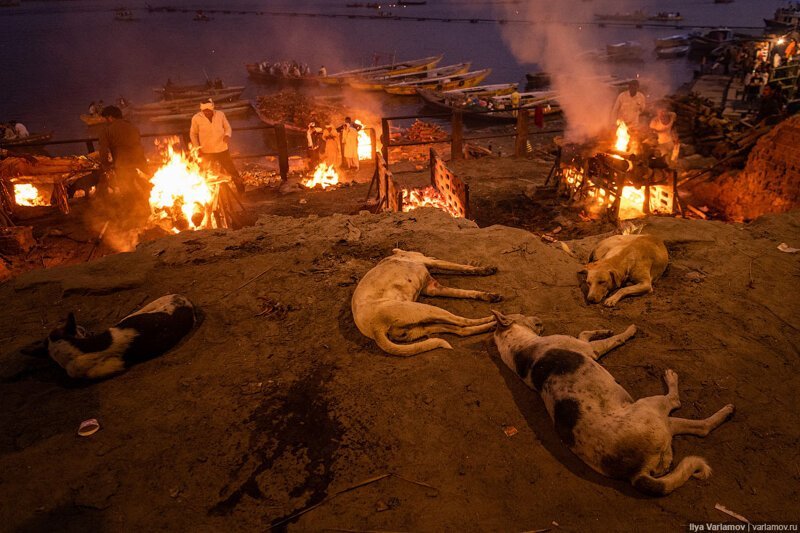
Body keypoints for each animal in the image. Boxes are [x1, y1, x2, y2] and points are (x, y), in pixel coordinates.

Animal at [352, 249, 500, 358]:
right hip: (428, 310)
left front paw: (488, 295)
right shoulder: (429, 262)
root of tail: (376, 329)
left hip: (421, 326)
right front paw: (486, 270)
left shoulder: (433, 288)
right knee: (462, 321)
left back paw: (492, 325)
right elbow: (463, 267)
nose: (432, 254)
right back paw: (494, 319)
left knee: (461, 330)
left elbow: (465, 292)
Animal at [490, 310, 736, 496]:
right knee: (691, 416)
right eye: (522, 314)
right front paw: (629, 330)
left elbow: (586, 332)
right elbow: (614, 338)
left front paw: (601, 329)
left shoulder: (583, 344)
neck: (517, 346)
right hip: (652, 408)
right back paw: (708, 401)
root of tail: (635, 473)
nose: (539, 318)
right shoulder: (590, 350)